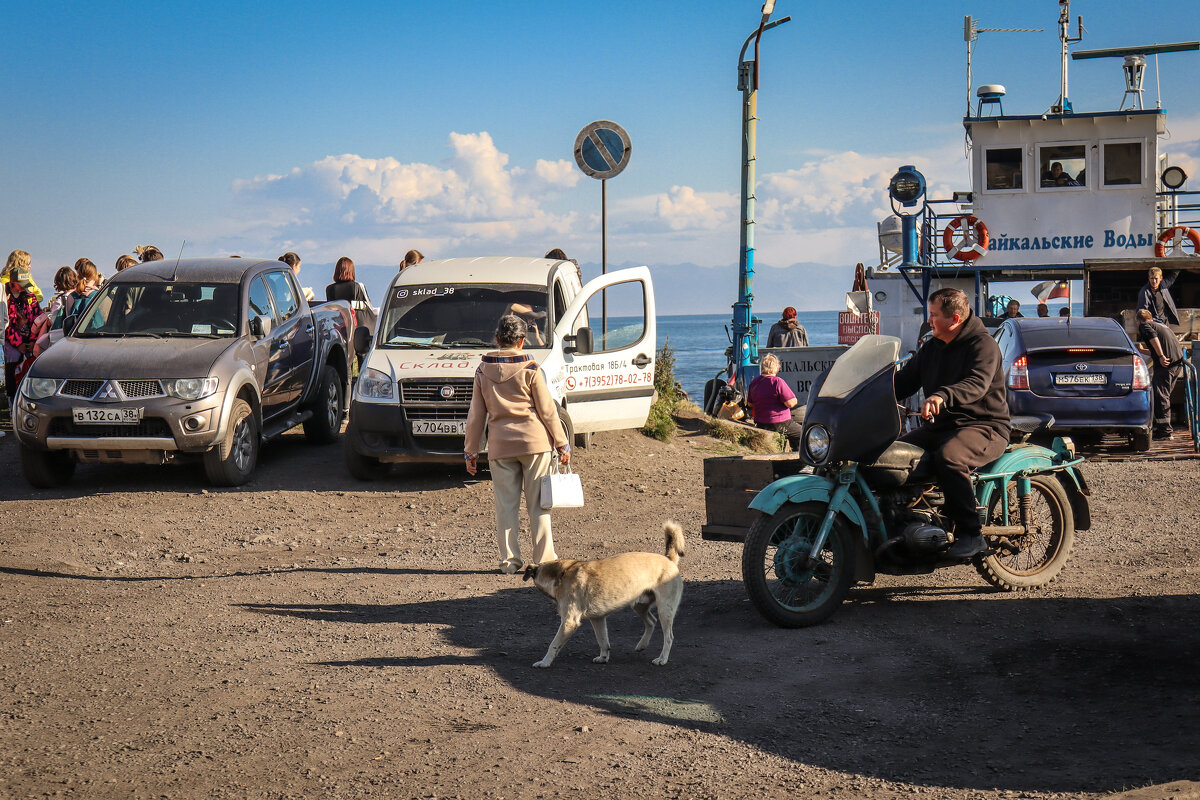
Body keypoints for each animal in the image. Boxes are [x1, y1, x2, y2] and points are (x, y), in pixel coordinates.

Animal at [523, 520, 686, 671]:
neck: (561, 574)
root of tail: (668, 558)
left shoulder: (569, 622)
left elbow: (553, 644)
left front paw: (544, 662)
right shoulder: (598, 618)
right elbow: (602, 640)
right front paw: (603, 657)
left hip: (665, 609)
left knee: (668, 637)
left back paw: (662, 659)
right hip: (639, 605)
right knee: (651, 621)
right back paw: (642, 645)